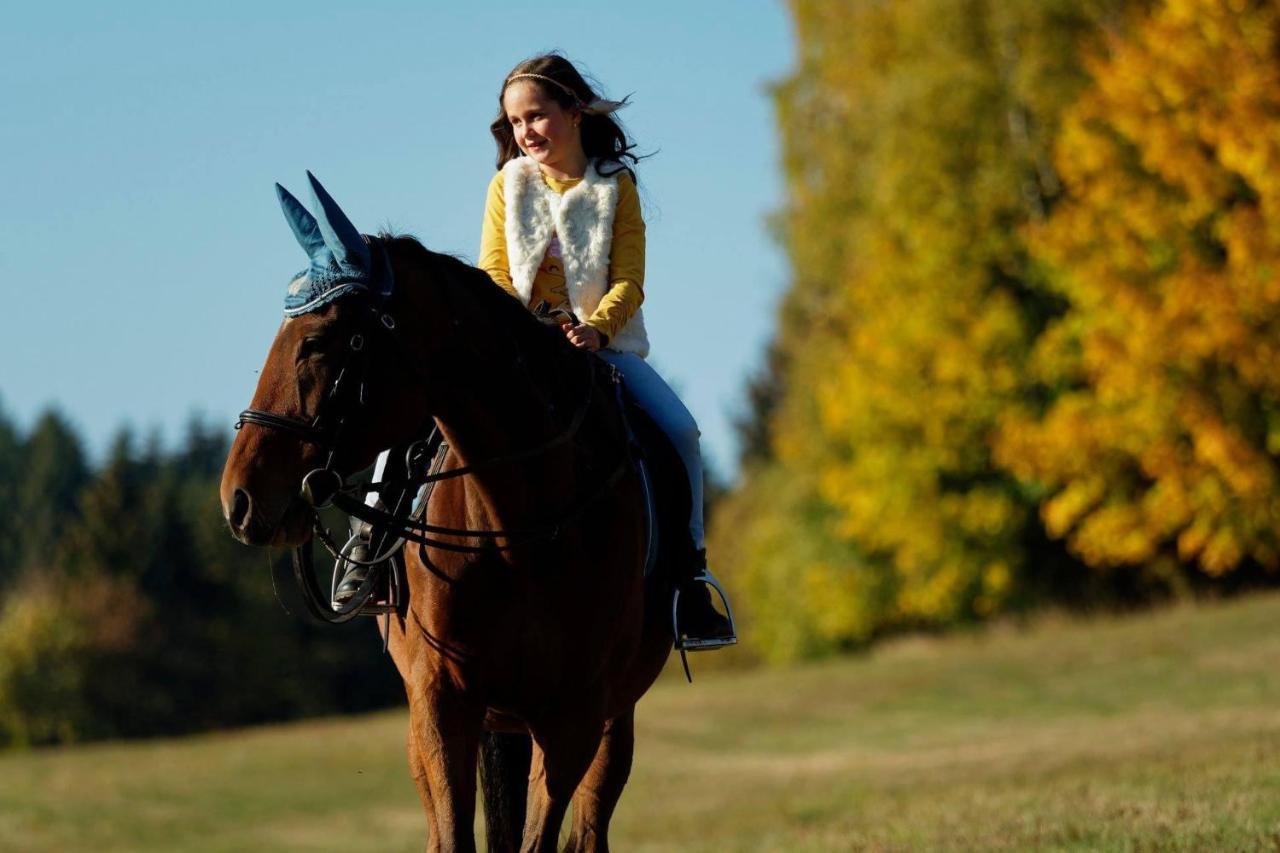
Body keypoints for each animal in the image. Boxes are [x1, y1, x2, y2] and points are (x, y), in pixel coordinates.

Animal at [222, 175, 680, 845]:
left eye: (317, 343)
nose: (239, 497)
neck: (519, 527)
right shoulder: (441, 705)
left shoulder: (572, 716)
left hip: (609, 723)